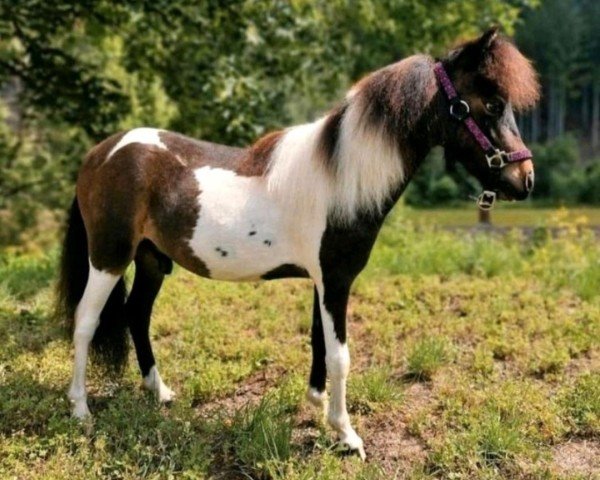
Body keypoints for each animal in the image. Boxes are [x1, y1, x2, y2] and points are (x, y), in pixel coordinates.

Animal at [58, 29, 540, 458]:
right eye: (492, 104)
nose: (526, 179)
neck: (341, 180)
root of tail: (100, 154)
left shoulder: (323, 281)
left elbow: (318, 343)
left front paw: (317, 404)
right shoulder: (336, 281)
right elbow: (340, 355)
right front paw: (346, 435)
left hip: (152, 260)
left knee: (136, 315)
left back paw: (159, 392)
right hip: (109, 257)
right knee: (85, 321)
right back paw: (80, 410)